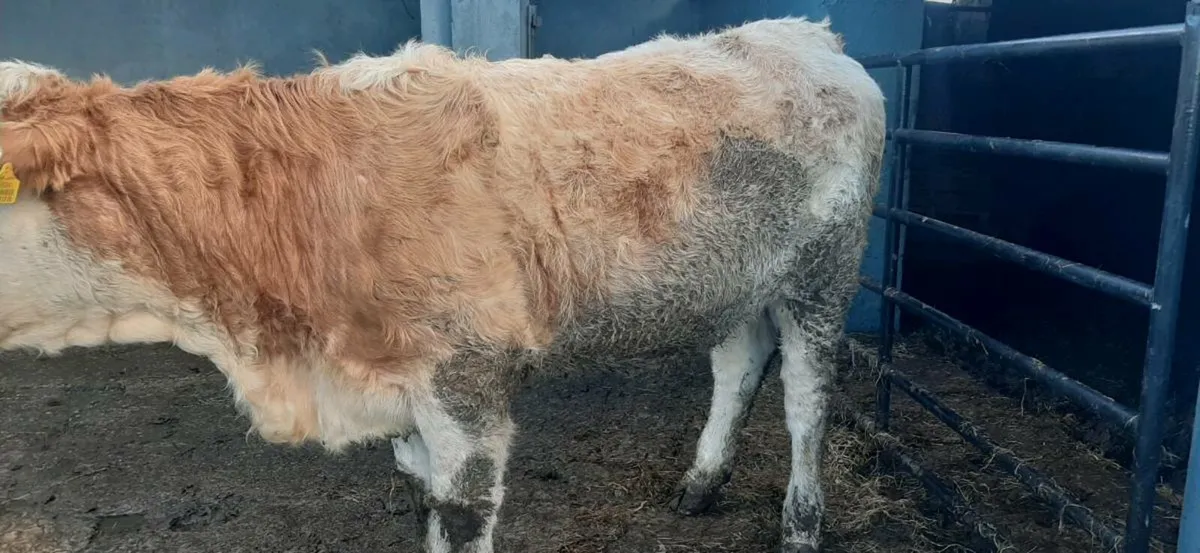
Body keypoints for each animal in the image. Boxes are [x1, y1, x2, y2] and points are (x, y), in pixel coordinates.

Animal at [0, 17, 885, 553]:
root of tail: (803, 32)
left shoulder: (467, 380)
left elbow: (459, 515)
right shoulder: (397, 382)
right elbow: (419, 492)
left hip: (822, 273)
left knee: (806, 399)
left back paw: (802, 523)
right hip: (736, 275)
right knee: (737, 365)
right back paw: (701, 482)